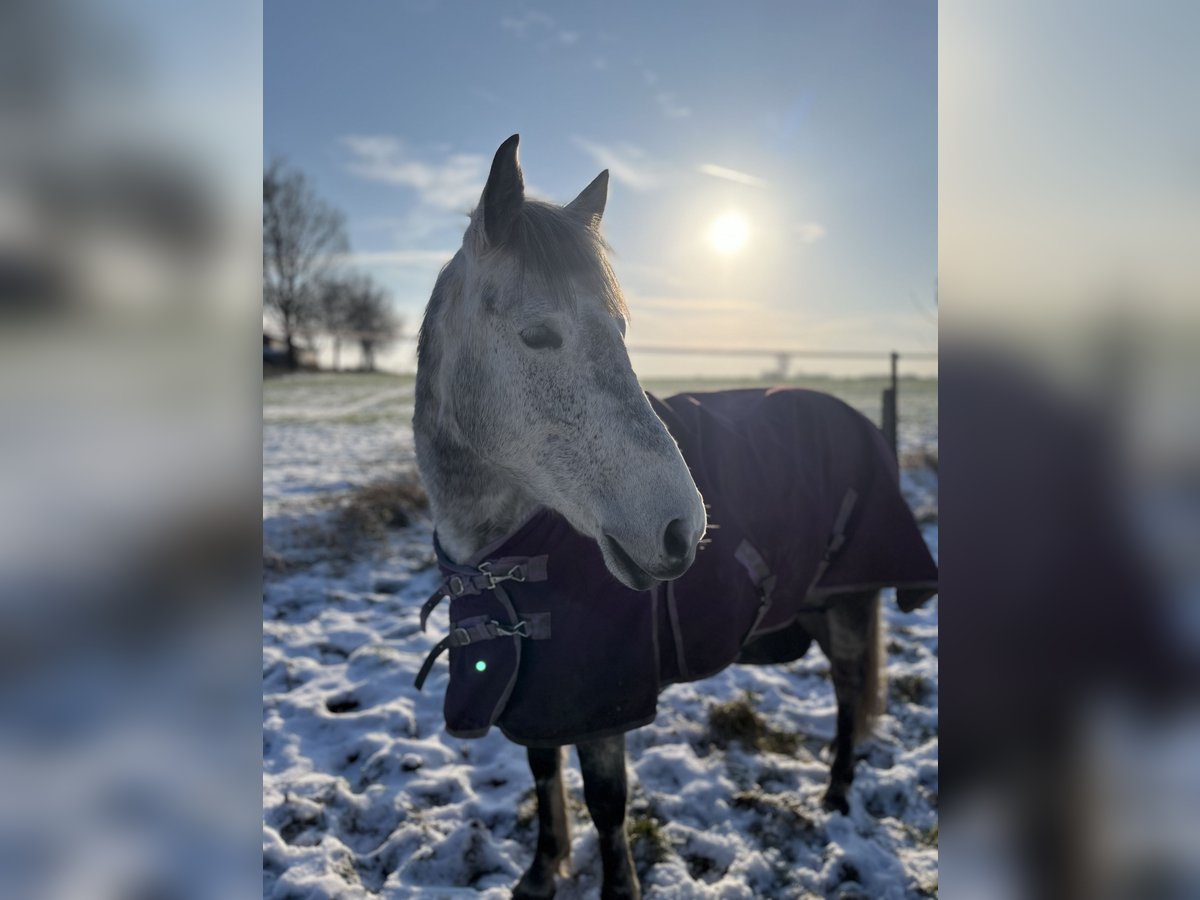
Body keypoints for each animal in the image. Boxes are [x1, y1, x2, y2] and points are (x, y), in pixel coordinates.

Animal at [412, 135, 936, 900]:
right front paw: (542, 870)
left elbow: (607, 803)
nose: (680, 530)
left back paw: (838, 793)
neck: (503, 556)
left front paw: (615, 887)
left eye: (622, 329)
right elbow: (543, 772)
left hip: (848, 604)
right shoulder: (540, 690)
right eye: (537, 334)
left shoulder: (600, 703)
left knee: (846, 691)